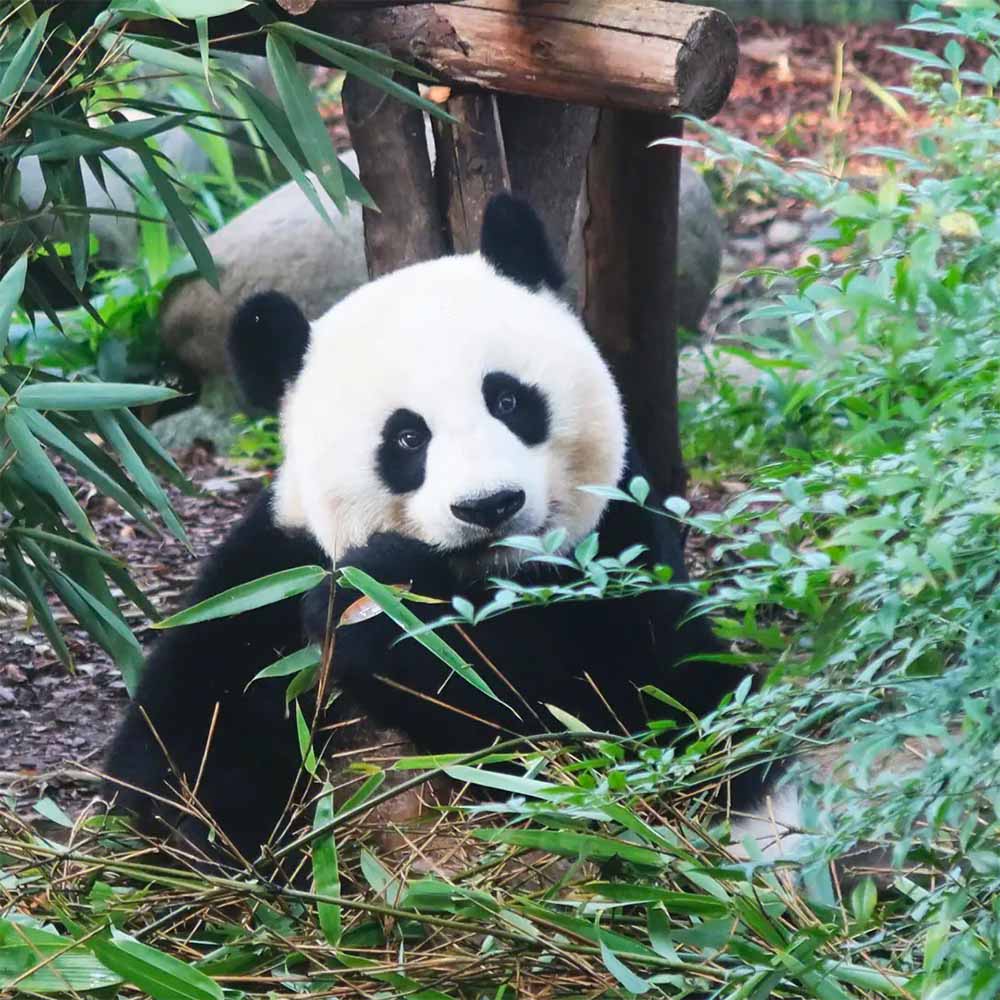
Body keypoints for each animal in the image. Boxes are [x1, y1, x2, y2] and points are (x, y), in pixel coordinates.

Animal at [105, 194, 769, 863]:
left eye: (508, 401)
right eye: (406, 438)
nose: (489, 505)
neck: (485, 579)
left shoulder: (622, 547)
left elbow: (625, 695)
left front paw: (383, 610)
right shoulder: (269, 569)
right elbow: (183, 735)